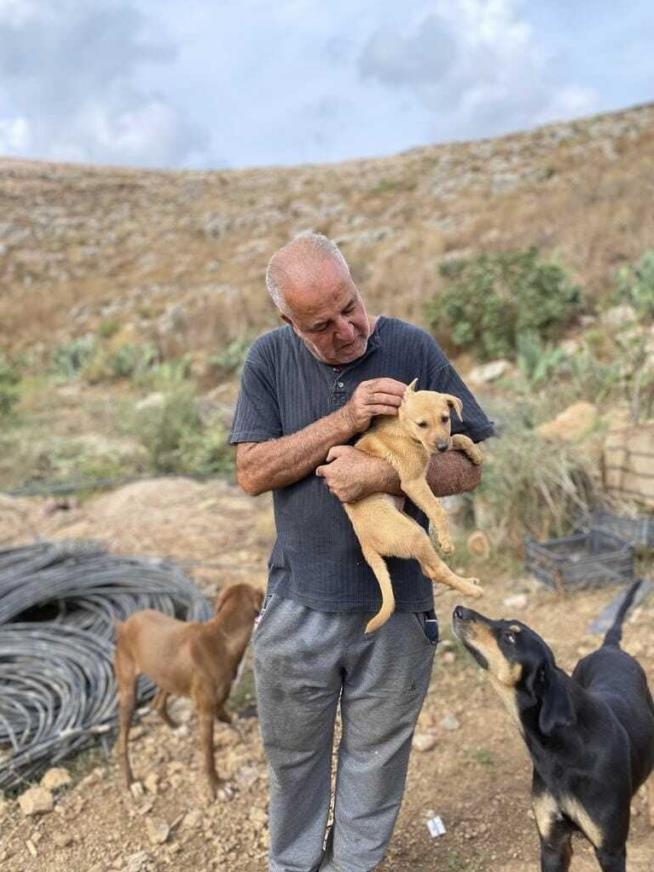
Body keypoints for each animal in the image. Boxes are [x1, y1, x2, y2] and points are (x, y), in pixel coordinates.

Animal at [113, 584, 264, 800]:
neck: (222, 635)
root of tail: (124, 624)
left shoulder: (218, 697)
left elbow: (224, 713)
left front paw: (235, 725)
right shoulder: (205, 713)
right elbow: (209, 755)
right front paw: (217, 786)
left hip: (167, 675)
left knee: (157, 703)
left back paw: (175, 727)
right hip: (128, 690)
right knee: (122, 742)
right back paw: (131, 782)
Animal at [346, 382, 484, 632]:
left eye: (445, 418)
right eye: (422, 424)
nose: (441, 446)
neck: (404, 429)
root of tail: (365, 544)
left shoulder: (435, 451)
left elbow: (458, 436)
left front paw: (474, 453)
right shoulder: (414, 482)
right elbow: (437, 509)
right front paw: (446, 540)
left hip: (415, 531)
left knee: (429, 569)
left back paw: (467, 582)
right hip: (414, 535)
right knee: (437, 569)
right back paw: (472, 589)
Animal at [454, 580, 652, 872]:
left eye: (510, 637)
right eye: (501, 622)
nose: (458, 610)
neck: (563, 749)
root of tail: (610, 648)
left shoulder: (611, 850)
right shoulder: (552, 843)